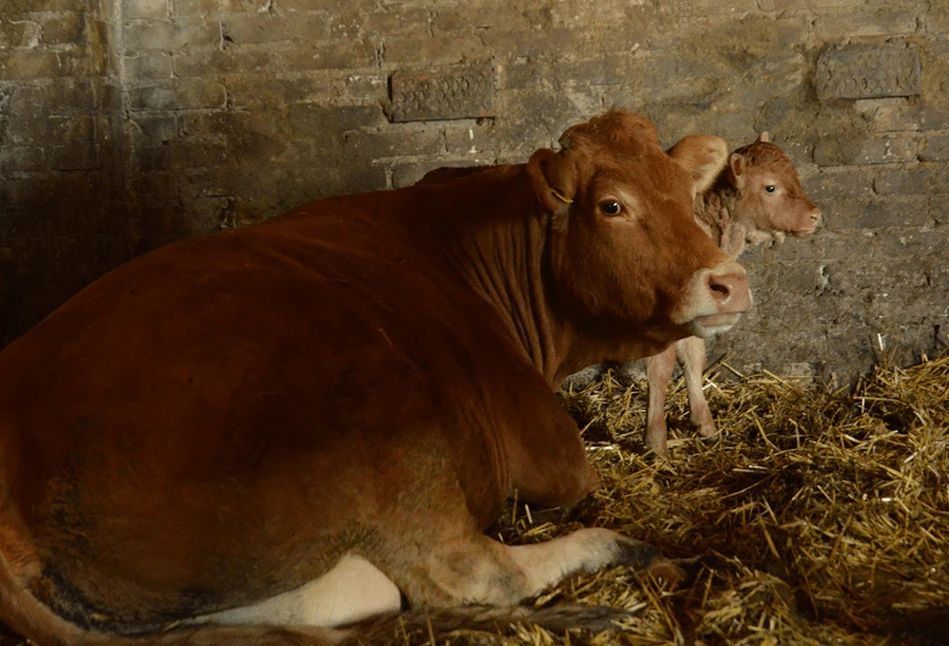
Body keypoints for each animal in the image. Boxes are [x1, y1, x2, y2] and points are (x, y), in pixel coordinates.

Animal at [0, 109, 748, 644]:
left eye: (686, 194)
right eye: (612, 206)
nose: (731, 282)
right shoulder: (547, 449)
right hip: (387, 430)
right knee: (474, 575)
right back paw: (641, 558)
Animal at [644, 133, 824, 456]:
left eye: (795, 175)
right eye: (770, 187)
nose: (815, 216)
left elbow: (694, 357)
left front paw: (705, 426)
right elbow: (660, 369)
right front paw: (656, 443)